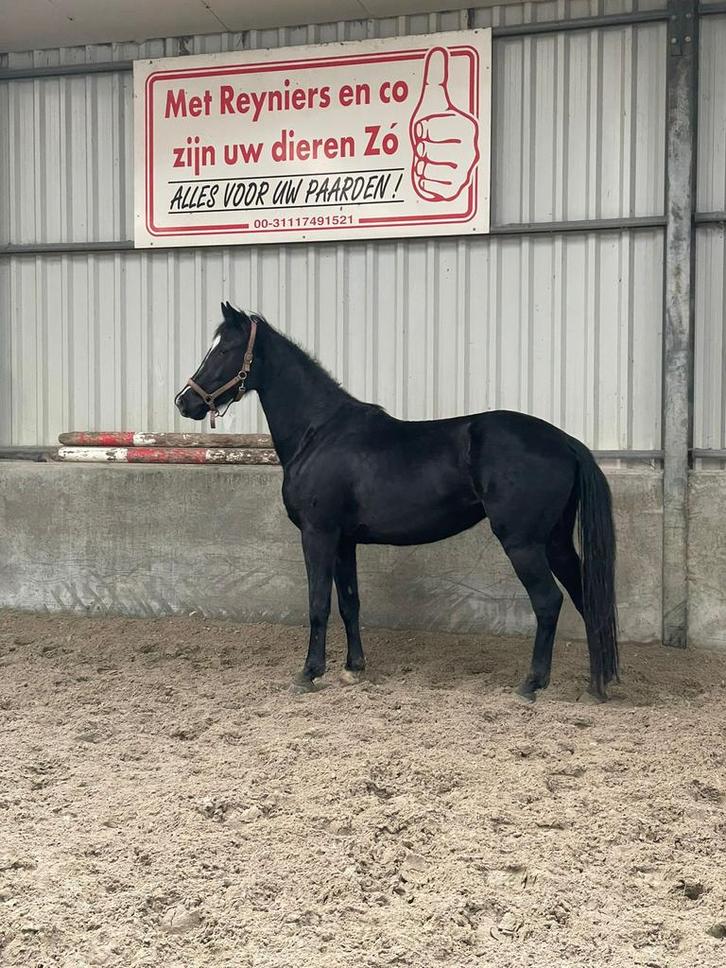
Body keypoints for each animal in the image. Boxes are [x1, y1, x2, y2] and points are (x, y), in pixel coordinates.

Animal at [175, 302, 618, 702]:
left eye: (224, 351)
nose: (184, 402)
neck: (319, 432)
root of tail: (565, 441)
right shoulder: (344, 541)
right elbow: (349, 603)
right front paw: (353, 669)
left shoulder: (318, 535)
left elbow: (318, 603)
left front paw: (308, 674)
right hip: (556, 542)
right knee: (586, 599)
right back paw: (596, 687)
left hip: (523, 543)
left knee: (548, 601)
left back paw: (531, 685)